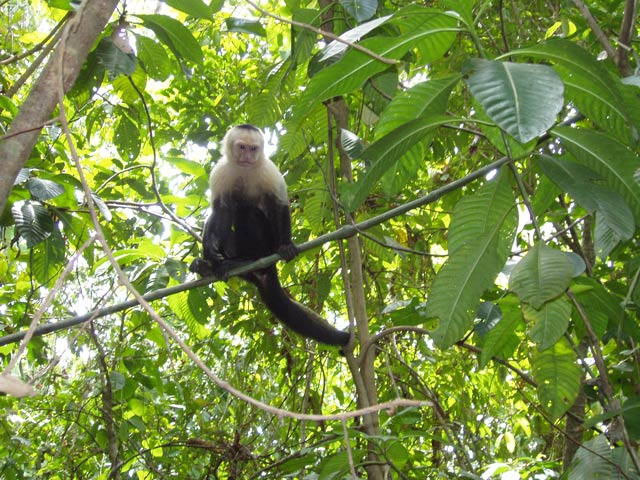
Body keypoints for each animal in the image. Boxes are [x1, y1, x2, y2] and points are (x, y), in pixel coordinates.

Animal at [190, 125, 350, 346]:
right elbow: (220, 210)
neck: (245, 170)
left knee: (246, 212)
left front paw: (286, 246)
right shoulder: (221, 172)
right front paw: (211, 253)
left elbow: (279, 204)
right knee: (231, 212)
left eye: (253, 149)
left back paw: (250, 259)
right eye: (242, 147)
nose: (247, 157)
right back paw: (215, 265)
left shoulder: (268, 171)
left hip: (267, 242)